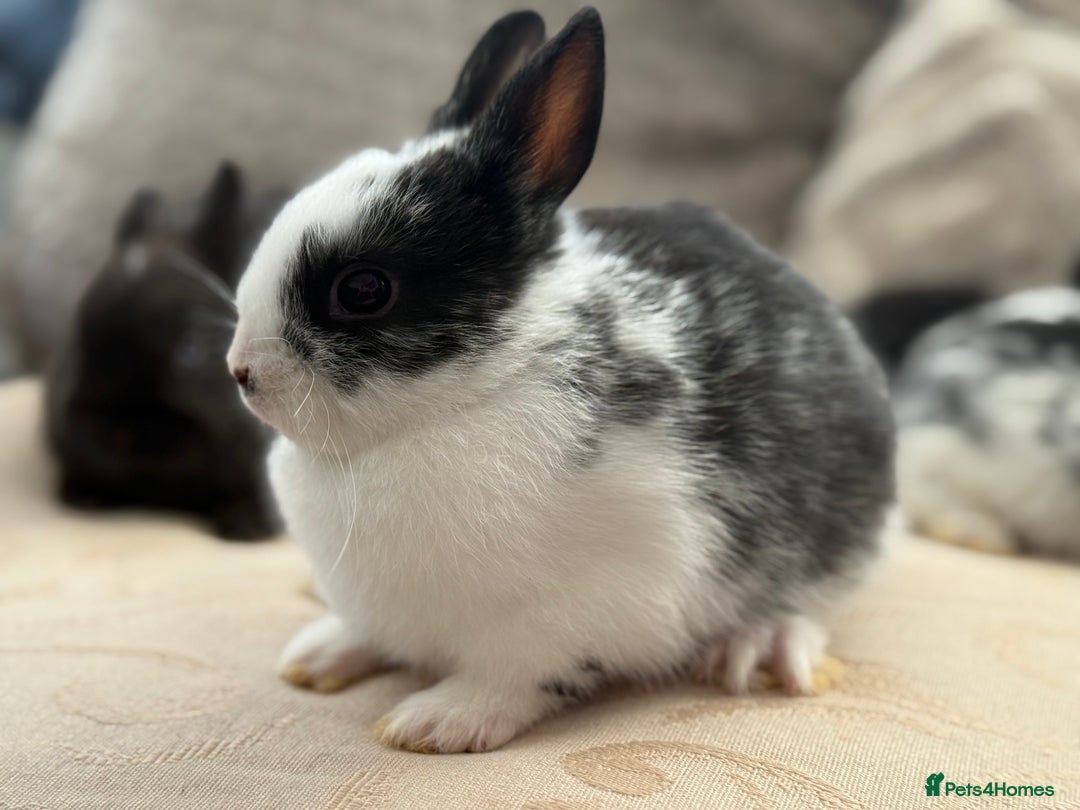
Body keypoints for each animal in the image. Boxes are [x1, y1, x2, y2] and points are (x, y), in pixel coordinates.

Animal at [226, 8, 895, 752]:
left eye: (364, 290)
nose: (241, 371)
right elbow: (368, 632)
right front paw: (320, 654)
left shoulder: (583, 604)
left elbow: (520, 676)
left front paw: (439, 722)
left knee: (811, 603)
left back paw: (760, 646)